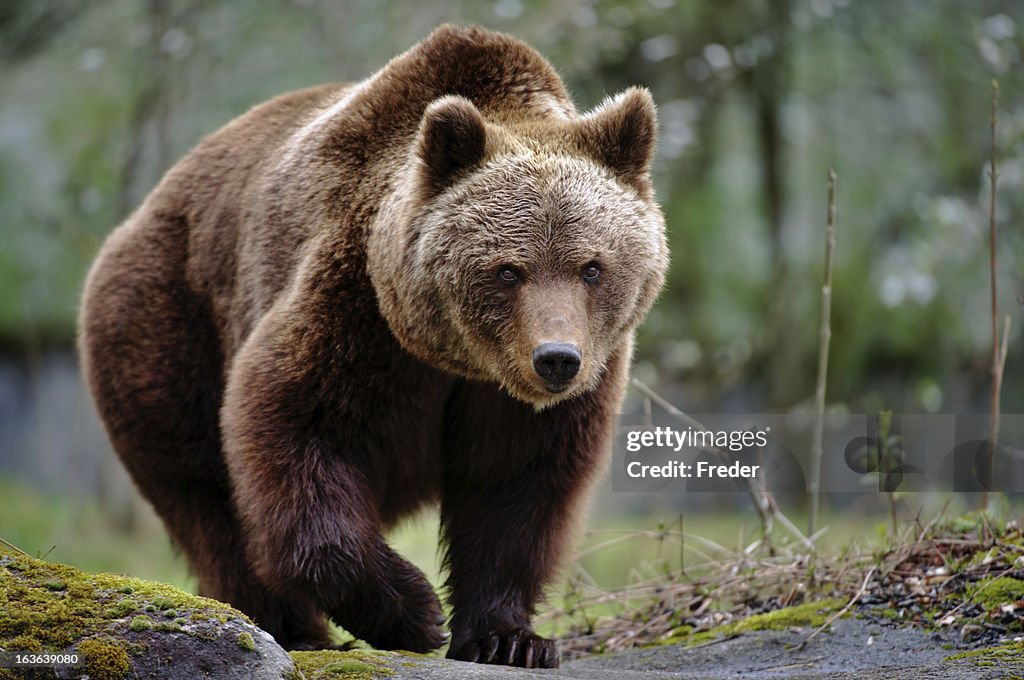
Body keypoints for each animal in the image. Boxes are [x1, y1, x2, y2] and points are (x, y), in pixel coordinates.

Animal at [78, 24, 667, 668]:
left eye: (592, 267)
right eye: (509, 270)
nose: (556, 358)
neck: (454, 358)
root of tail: (140, 215)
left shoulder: (533, 395)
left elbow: (516, 488)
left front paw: (509, 638)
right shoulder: (355, 311)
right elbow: (296, 430)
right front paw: (414, 612)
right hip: (167, 323)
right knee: (206, 496)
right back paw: (290, 628)